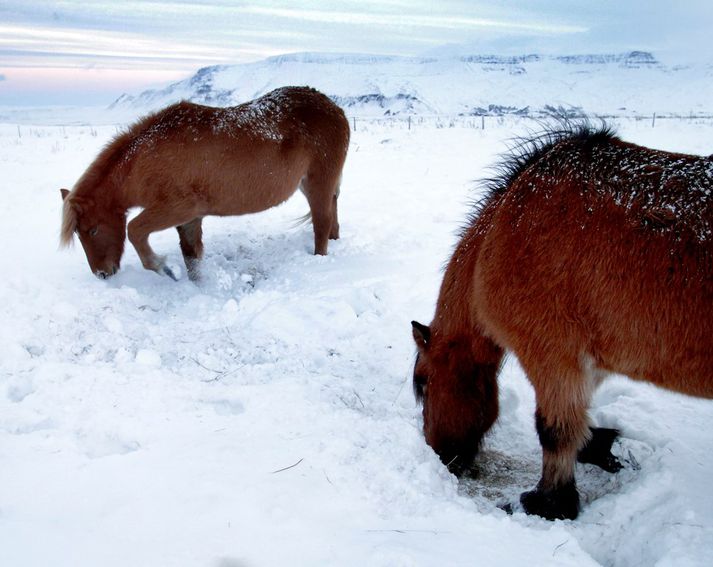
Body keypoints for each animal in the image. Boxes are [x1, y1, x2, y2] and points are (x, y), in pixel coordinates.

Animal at [59, 86, 350, 280]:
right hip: (313, 185)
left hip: (318, 184)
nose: (101, 273)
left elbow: (134, 230)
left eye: (93, 230)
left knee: (322, 222)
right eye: (79, 233)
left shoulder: (179, 209)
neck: (146, 158)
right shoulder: (189, 219)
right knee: (333, 218)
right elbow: (191, 256)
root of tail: (335, 109)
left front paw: (161, 266)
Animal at [412, 125, 712, 524]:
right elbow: (581, 424)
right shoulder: (589, 360)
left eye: (424, 384)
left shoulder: (552, 355)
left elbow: (555, 431)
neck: (508, 224)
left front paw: (545, 502)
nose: (440, 455)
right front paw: (605, 447)